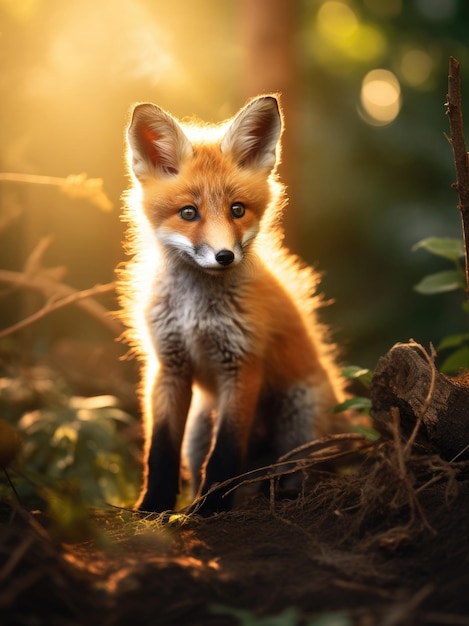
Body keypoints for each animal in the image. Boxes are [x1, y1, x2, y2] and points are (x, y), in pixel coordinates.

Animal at [120, 94, 348, 512]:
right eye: (189, 213)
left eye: (237, 209)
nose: (224, 256)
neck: (196, 312)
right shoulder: (168, 365)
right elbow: (160, 448)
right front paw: (153, 506)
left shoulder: (242, 364)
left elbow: (225, 451)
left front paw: (210, 508)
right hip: (198, 427)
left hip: (299, 421)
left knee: (300, 473)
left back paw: (282, 493)